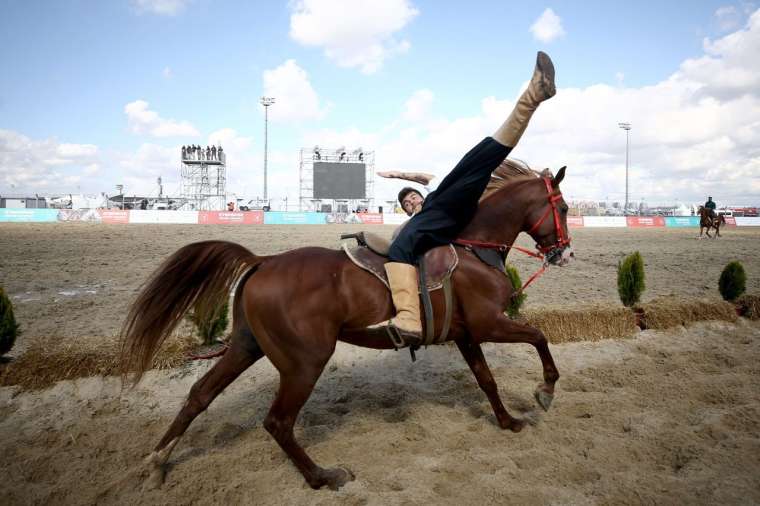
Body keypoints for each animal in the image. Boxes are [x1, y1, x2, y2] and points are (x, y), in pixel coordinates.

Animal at [120, 164, 568, 488]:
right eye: (563, 209)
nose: (564, 252)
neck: (472, 247)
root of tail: (263, 261)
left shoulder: (467, 334)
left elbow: (487, 380)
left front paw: (508, 421)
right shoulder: (490, 323)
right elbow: (539, 337)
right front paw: (544, 391)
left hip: (247, 347)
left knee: (200, 395)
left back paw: (158, 462)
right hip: (304, 363)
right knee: (277, 422)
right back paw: (322, 476)